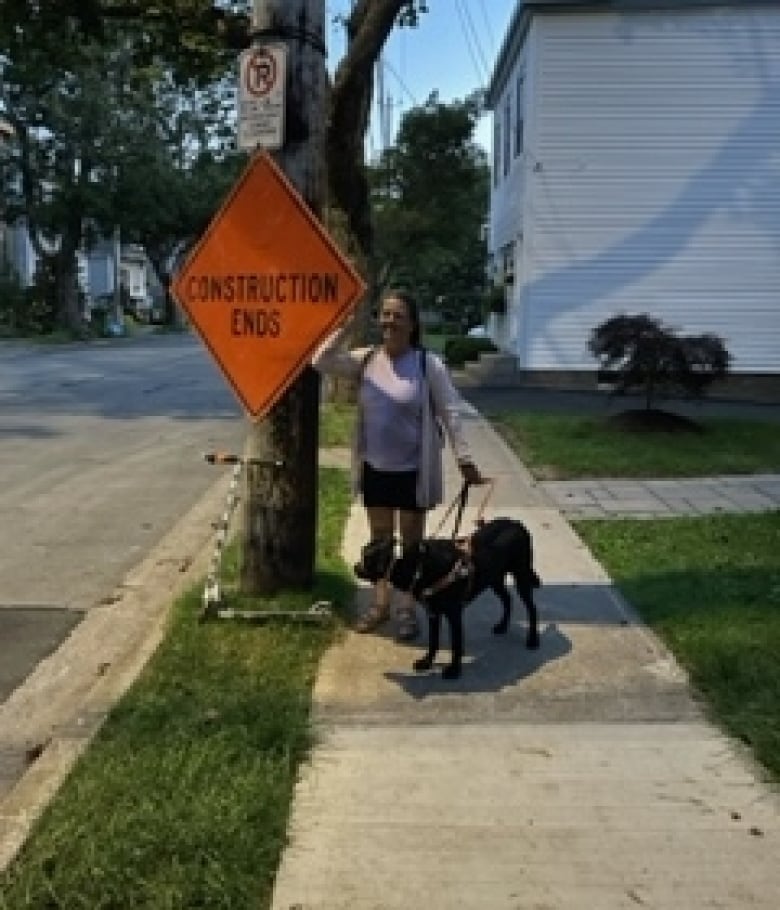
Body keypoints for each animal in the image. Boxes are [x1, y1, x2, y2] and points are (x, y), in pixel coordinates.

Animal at [352, 520, 536, 676]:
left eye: (366, 557)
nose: (354, 567)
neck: (418, 565)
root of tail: (517, 523)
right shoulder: (433, 612)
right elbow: (433, 641)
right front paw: (427, 663)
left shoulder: (454, 615)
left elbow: (456, 644)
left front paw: (454, 670)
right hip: (494, 577)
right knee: (507, 599)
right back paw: (502, 626)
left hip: (521, 575)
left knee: (531, 608)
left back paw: (533, 639)